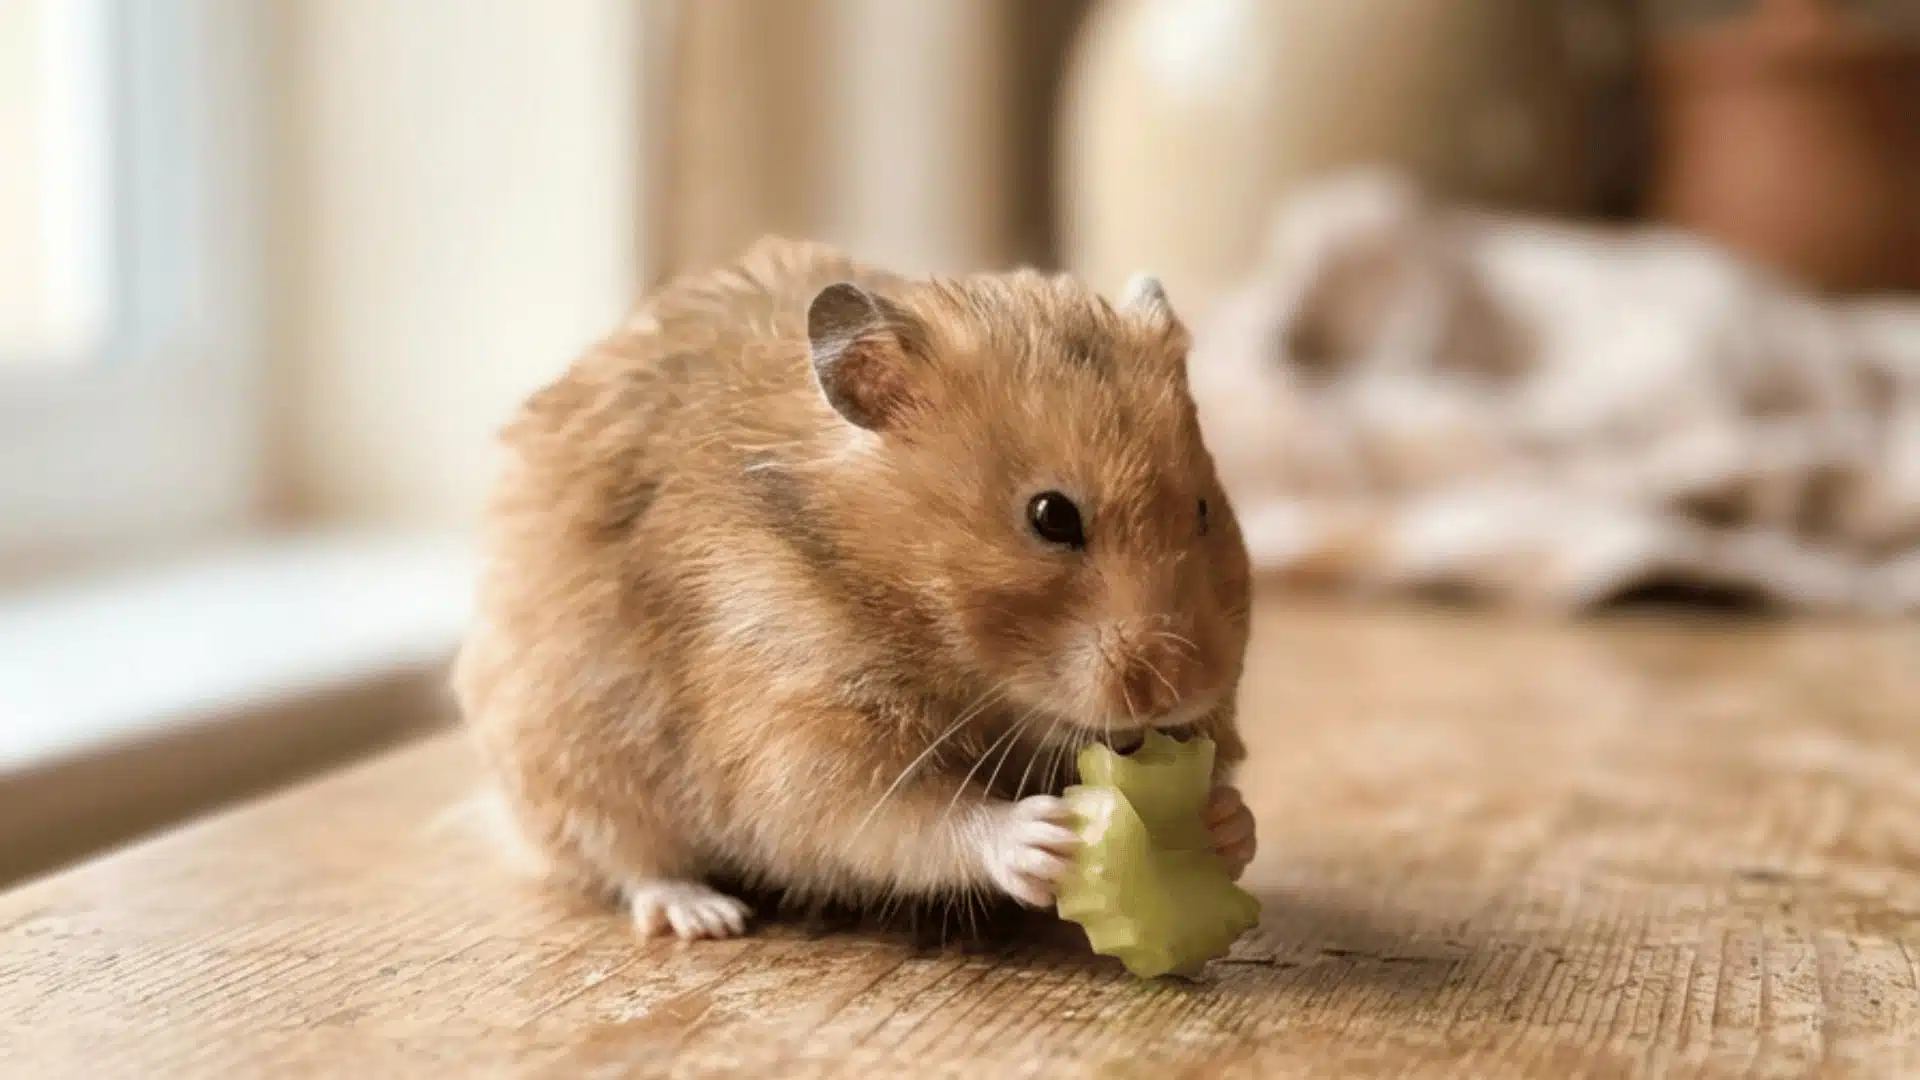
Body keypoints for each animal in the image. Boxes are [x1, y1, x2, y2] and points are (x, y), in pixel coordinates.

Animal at [453, 238, 1256, 940]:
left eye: (1204, 510)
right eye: (1051, 517)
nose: (1179, 688)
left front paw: (1226, 823)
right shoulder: (792, 720)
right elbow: (902, 815)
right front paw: (1043, 837)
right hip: (573, 760)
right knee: (622, 862)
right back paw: (705, 916)